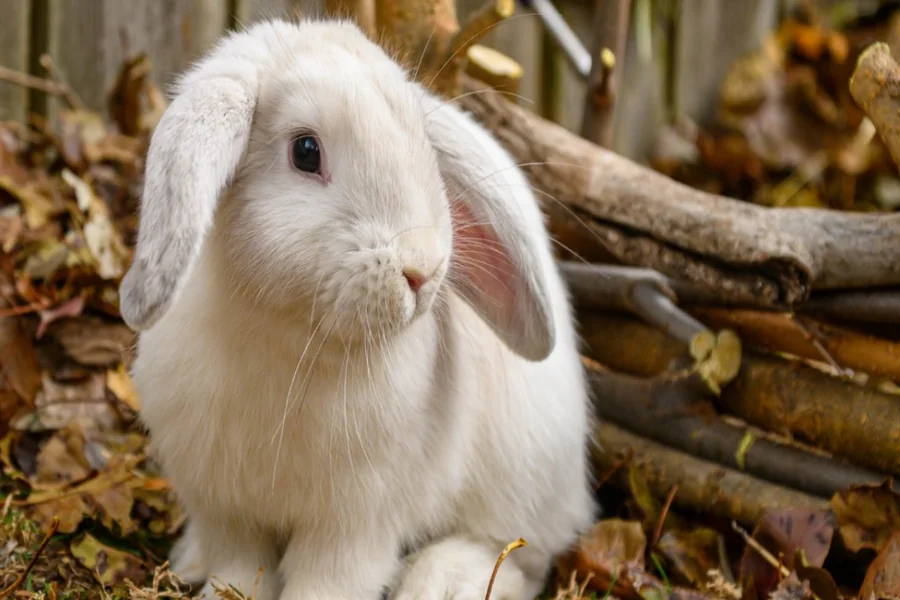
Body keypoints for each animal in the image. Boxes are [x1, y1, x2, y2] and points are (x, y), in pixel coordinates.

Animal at [119, 16, 596, 600]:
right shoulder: (226, 510)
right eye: (305, 151)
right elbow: (238, 567)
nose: (423, 270)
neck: (292, 339)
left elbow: (328, 581)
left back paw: (445, 580)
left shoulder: (355, 523)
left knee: (521, 558)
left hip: (521, 483)